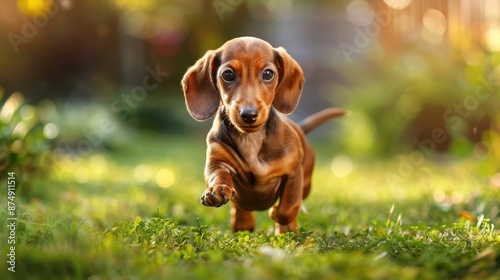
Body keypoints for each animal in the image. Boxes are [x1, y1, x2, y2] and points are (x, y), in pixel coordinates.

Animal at [183, 36, 344, 234]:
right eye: (228, 75)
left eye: (268, 74)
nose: (249, 114)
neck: (251, 138)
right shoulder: (217, 162)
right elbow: (219, 175)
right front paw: (218, 190)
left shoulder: (293, 173)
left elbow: (288, 208)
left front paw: (276, 213)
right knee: (240, 208)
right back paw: (242, 222)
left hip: (306, 183)